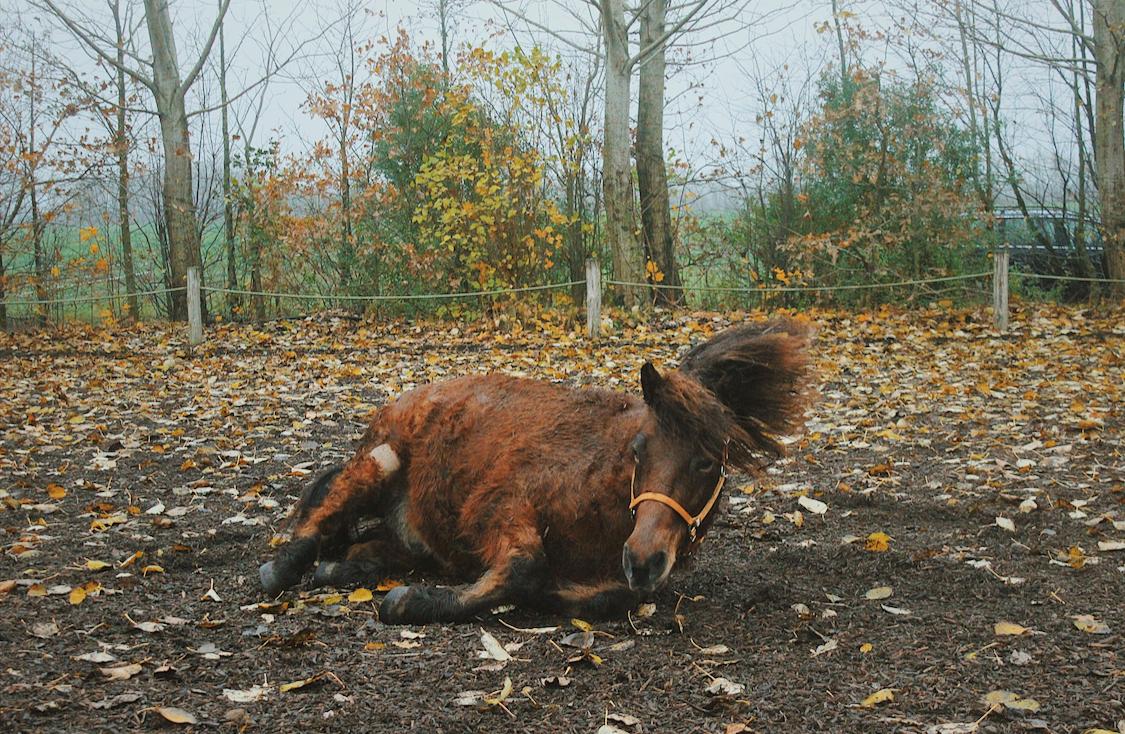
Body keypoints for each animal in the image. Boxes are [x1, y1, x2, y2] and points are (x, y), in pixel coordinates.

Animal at [258, 317, 814, 621]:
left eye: (706, 462)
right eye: (640, 450)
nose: (643, 559)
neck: (602, 480)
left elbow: (597, 597)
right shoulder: (496, 510)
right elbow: (526, 568)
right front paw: (410, 602)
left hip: (412, 533)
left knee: (366, 547)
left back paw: (340, 567)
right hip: (378, 463)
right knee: (315, 522)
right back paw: (283, 569)